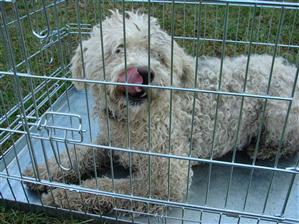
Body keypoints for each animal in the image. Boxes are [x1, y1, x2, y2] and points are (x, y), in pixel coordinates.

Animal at [24, 10, 299, 215]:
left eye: (158, 56)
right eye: (119, 49)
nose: (144, 72)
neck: (134, 120)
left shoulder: (167, 181)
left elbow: (109, 188)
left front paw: (65, 195)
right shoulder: (109, 141)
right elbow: (78, 154)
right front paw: (43, 171)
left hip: (279, 112)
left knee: (289, 144)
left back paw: (263, 149)